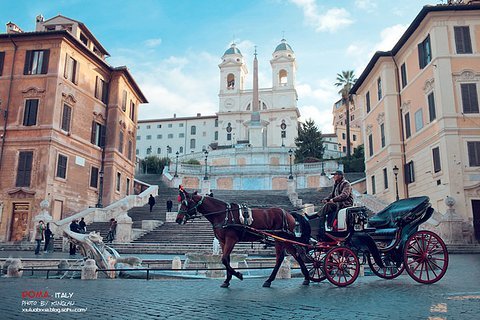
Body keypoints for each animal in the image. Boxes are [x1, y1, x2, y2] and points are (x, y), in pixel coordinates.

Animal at [176, 186, 312, 288]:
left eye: (185, 203)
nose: (178, 219)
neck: (222, 214)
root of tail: (289, 214)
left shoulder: (231, 239)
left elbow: (224, 260)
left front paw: (238, 275)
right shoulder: (223, 241)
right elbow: (226, 260)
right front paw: (227, 281)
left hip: (282, 238)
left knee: (287, 256)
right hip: (281, 240)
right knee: (289, 256)